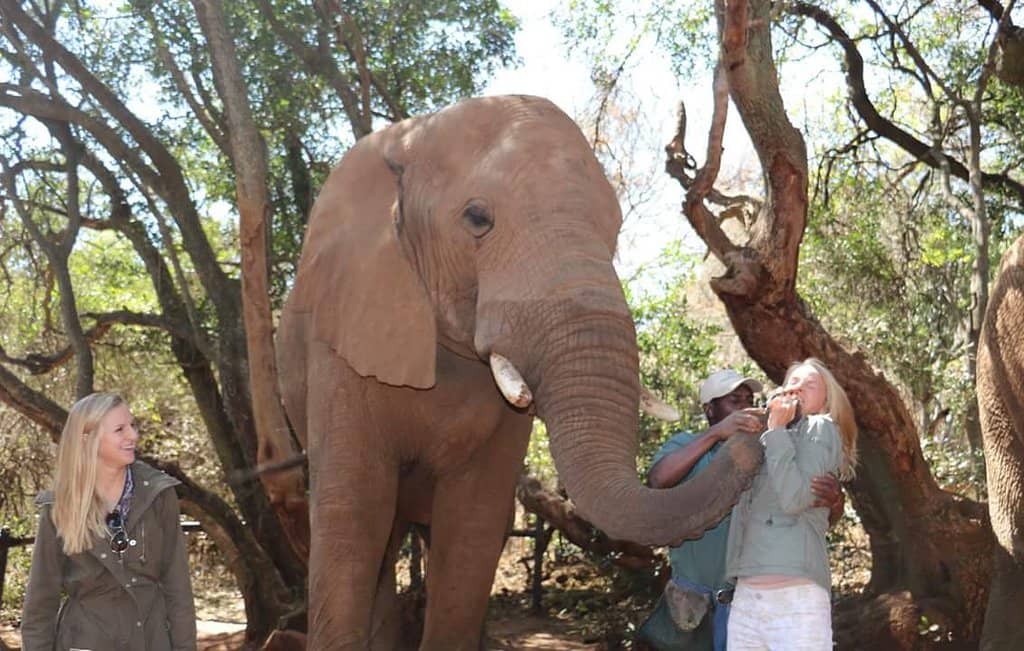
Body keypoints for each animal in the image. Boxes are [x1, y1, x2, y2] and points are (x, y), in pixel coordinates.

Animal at [276, 94, 762, 649]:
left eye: (615, 230)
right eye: (477, 218)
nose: (749, 431)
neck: (409, 142)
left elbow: (474, 523)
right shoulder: (341, 337)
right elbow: (352, 517)